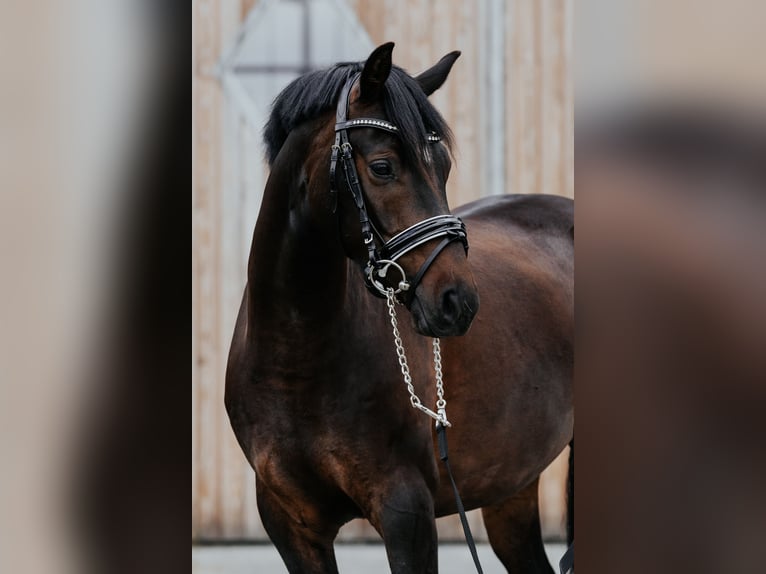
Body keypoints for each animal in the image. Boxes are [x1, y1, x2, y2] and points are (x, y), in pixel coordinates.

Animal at [225, 42, 572, 572]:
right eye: (383, 166)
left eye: (443, 166)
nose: (458, 302)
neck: (296, 356)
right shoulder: (290, 524)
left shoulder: (406, 512)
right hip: (511, 487)